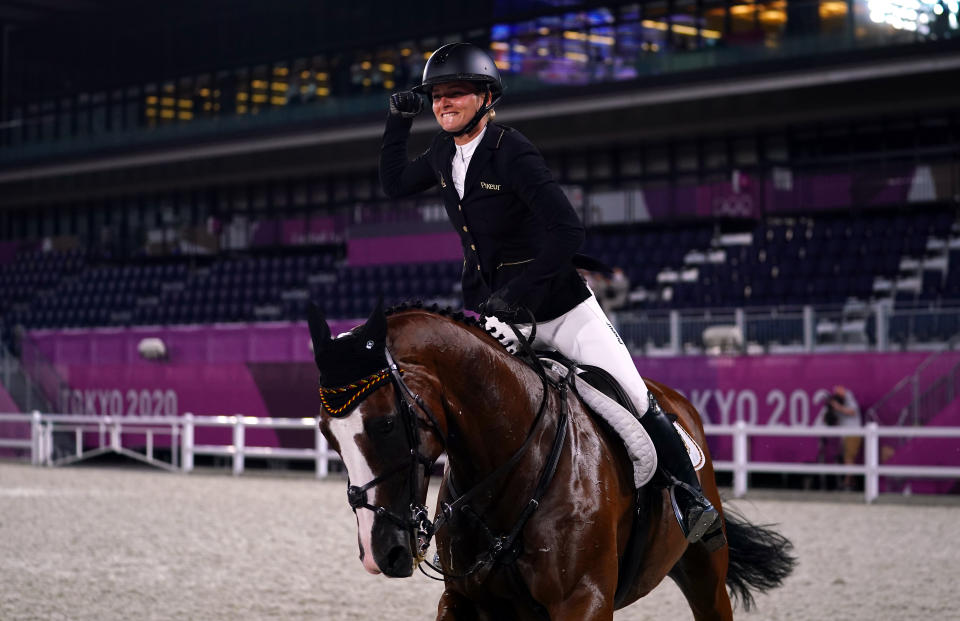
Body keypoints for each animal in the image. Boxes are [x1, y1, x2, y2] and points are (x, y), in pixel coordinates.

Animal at [310, 298, 796, 616]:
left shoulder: (584, 600)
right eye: (327, 434)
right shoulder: (463, 598)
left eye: (386, 424)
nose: (381, 553)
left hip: (704, 571)